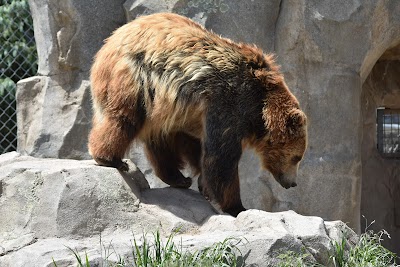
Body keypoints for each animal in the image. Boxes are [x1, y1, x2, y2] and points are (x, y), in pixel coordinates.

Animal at [89, 13, 308, 218]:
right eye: (297, 157)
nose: (293, 183)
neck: (259, 107)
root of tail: (109, 42)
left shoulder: (189, 112)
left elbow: (194, 145)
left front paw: (202, 184)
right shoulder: (226, 103)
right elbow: (221, 158)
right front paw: (237, 206)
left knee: (158, 139)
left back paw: (178, 178)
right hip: (135, 79)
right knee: (123, 119)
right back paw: (111, 159)